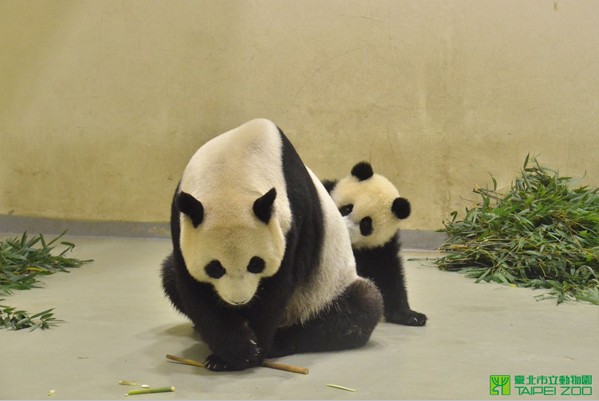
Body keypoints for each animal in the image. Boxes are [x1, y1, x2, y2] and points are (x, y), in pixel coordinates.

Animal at [161, 119, 384, 372]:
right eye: (215, 267)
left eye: (255, 264)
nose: (239, 301)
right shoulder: (181, 222)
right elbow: (195, 290)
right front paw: (235, 352)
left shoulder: (295, 219)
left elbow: (276, 289)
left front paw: (248, 352)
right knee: (169, 275)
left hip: (323, 293)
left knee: (360, 307)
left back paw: (281, 341)